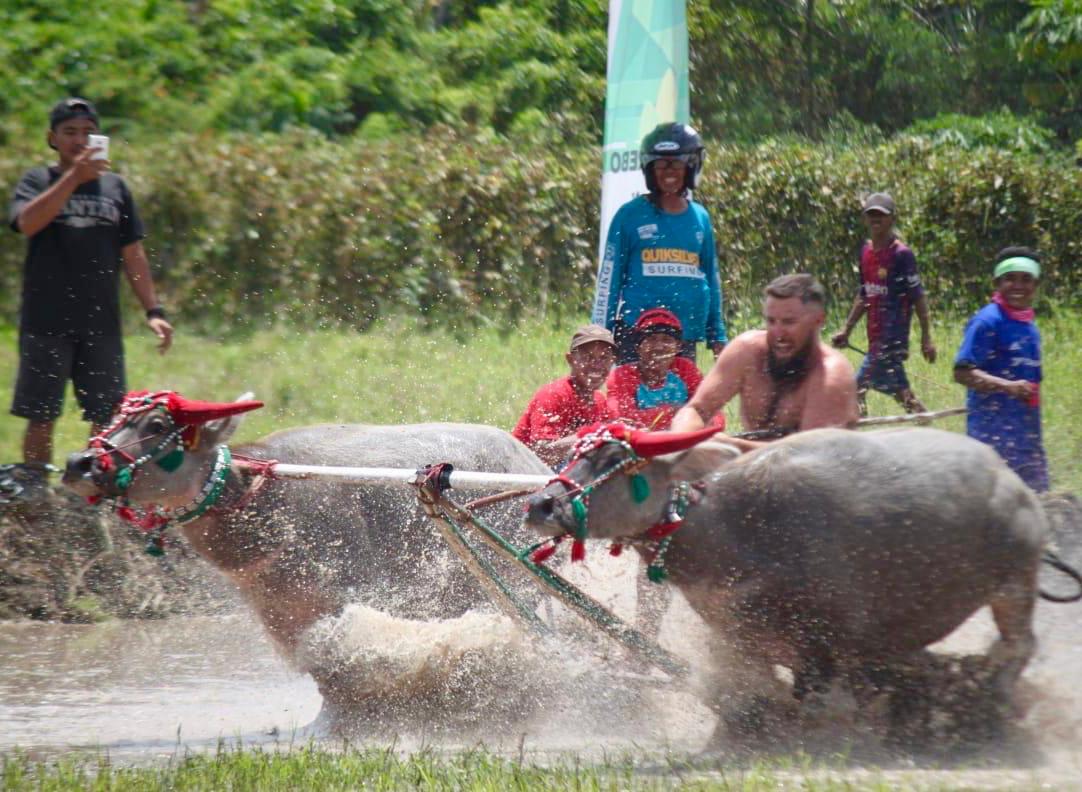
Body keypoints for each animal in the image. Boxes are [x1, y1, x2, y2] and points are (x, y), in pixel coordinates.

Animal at [63, 390, 552, 722]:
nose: (77, 463)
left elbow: (344, 658)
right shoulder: (287, 614)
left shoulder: (351, 596)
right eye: (117, 416)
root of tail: (538, 470)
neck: (263, 501)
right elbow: (324, 669)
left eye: (156, 425)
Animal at [524, 423, 1050, 744]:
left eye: (622, 462)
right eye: (578, 453)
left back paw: (994, 704)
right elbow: (745, 696)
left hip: (1015, 584)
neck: (734, 530)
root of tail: (1010, 477)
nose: (540, 504)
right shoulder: (740, 639)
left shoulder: (824, 646)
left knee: (1017, 646)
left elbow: (815, 703)